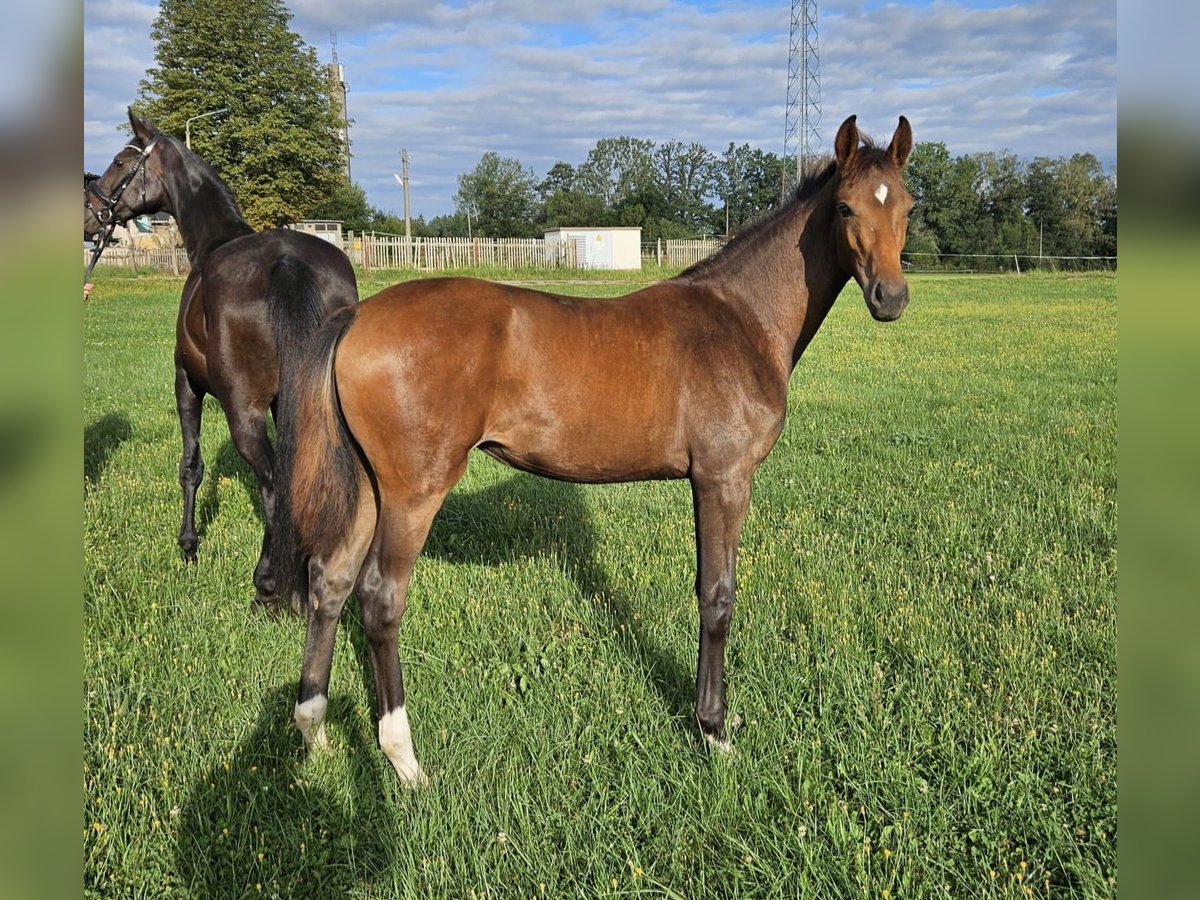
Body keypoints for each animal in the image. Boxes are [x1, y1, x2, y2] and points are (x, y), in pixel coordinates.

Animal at [84, 109, 357, 609]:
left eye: (119, 162)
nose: (92, 216)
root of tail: (287, 262)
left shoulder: (186, 385)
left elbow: (190, 467)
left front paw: (188, 546)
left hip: (240, 410)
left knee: (272, 485)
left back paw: (267, 585)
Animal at [270, 116, 907, 787]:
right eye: (845, 207)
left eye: (908, 206)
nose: (891, 297)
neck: (741, 318)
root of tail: (354, 316)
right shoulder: (723, 478)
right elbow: (717, 594)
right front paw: (713, 730)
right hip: (414, 492)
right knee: (379, 599)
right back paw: (404, 759)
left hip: (370, 487)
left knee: (331, 580)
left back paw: (313, 730)